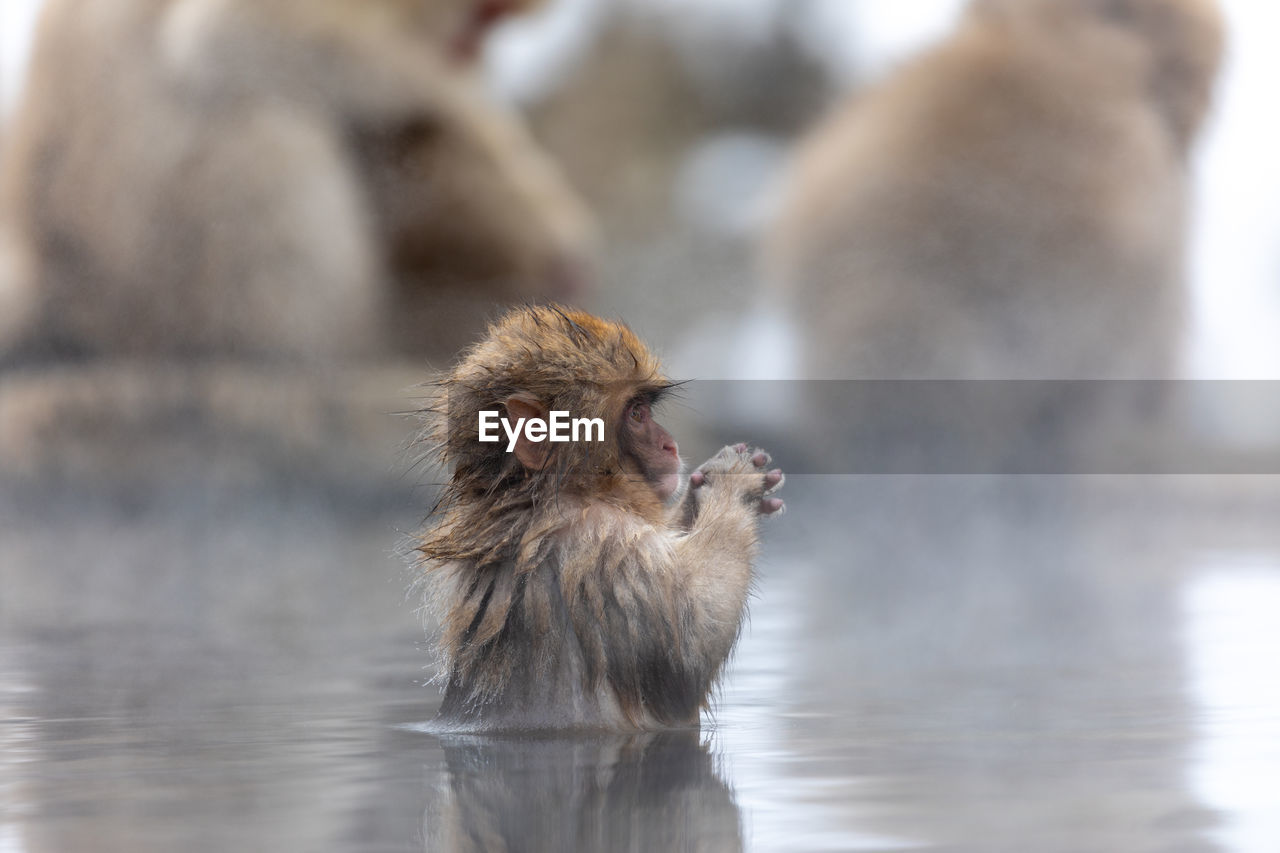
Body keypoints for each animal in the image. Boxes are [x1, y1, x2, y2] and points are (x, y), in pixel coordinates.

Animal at [0, 0, 588, 361]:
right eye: (481, 21)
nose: (476, 44)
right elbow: (230, 36)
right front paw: (457, 99)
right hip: (160, 287)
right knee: (259, 119)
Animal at [414, 306, 783, 732]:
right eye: (637, 414)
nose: (669, 445)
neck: (540, 496)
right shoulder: (604, 543)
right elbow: (688, 654)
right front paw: (731, 485)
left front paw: (698, 492)